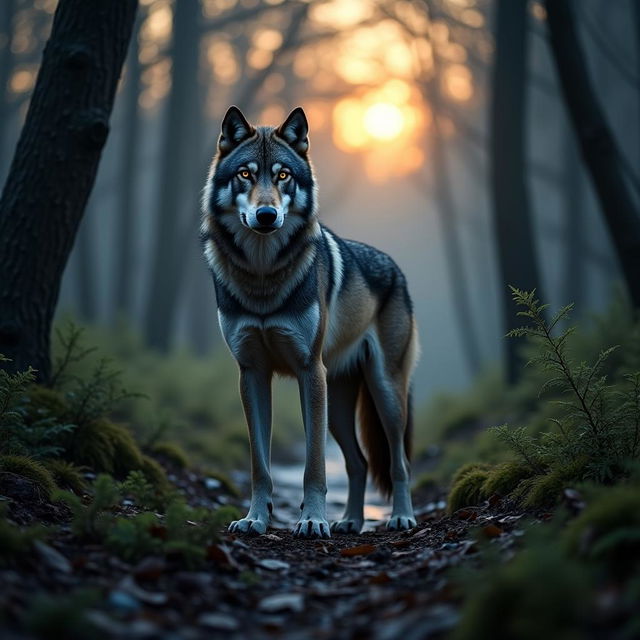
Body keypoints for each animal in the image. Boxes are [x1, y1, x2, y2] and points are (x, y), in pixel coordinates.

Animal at [200, 107, 420, 536]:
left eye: (283, 175)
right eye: (246, 174)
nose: (266, 214)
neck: (263, 276)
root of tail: (395, 268)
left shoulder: (308, 371)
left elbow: (314, 464)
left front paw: (313, 520)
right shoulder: (252, 373)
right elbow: (260, 465)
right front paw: (255, 519)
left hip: (381, 392)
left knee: (398, 461)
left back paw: (401, 517)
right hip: (337, 402)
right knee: (359, 462)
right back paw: (350, 521)